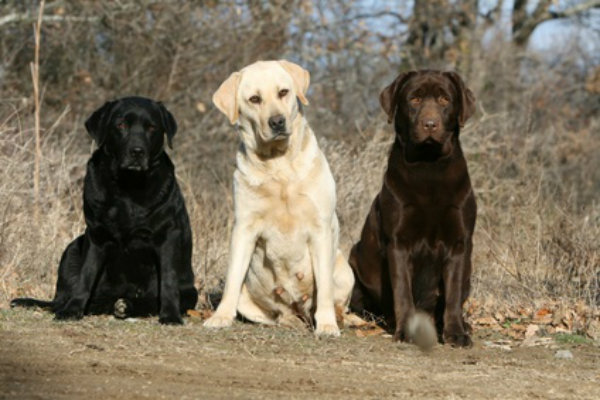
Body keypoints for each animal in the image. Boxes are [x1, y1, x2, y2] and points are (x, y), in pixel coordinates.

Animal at [11, 97, 198, 324]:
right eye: (121, 125)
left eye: (152, 127)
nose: (137, 151)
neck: (128, 187)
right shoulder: (96, 235)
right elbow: (86, 277)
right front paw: (72, 310)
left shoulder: (168, 235)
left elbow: (168, 280)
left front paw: (170, 315)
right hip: (72, 248)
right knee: (64, 296)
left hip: (191, 292)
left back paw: (125, 306)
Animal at [205, 60, 356, 334]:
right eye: (254, 99)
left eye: (283, 92)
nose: (277, 122)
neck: (279, 166)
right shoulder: (243, 228)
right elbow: (232, 279)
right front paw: (220, 317)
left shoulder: (320, 229)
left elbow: (325, 290)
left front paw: (327, 325)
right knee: (279, 314)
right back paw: (289, 321)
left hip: (344, 269)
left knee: (338, 302)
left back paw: (339, 319)